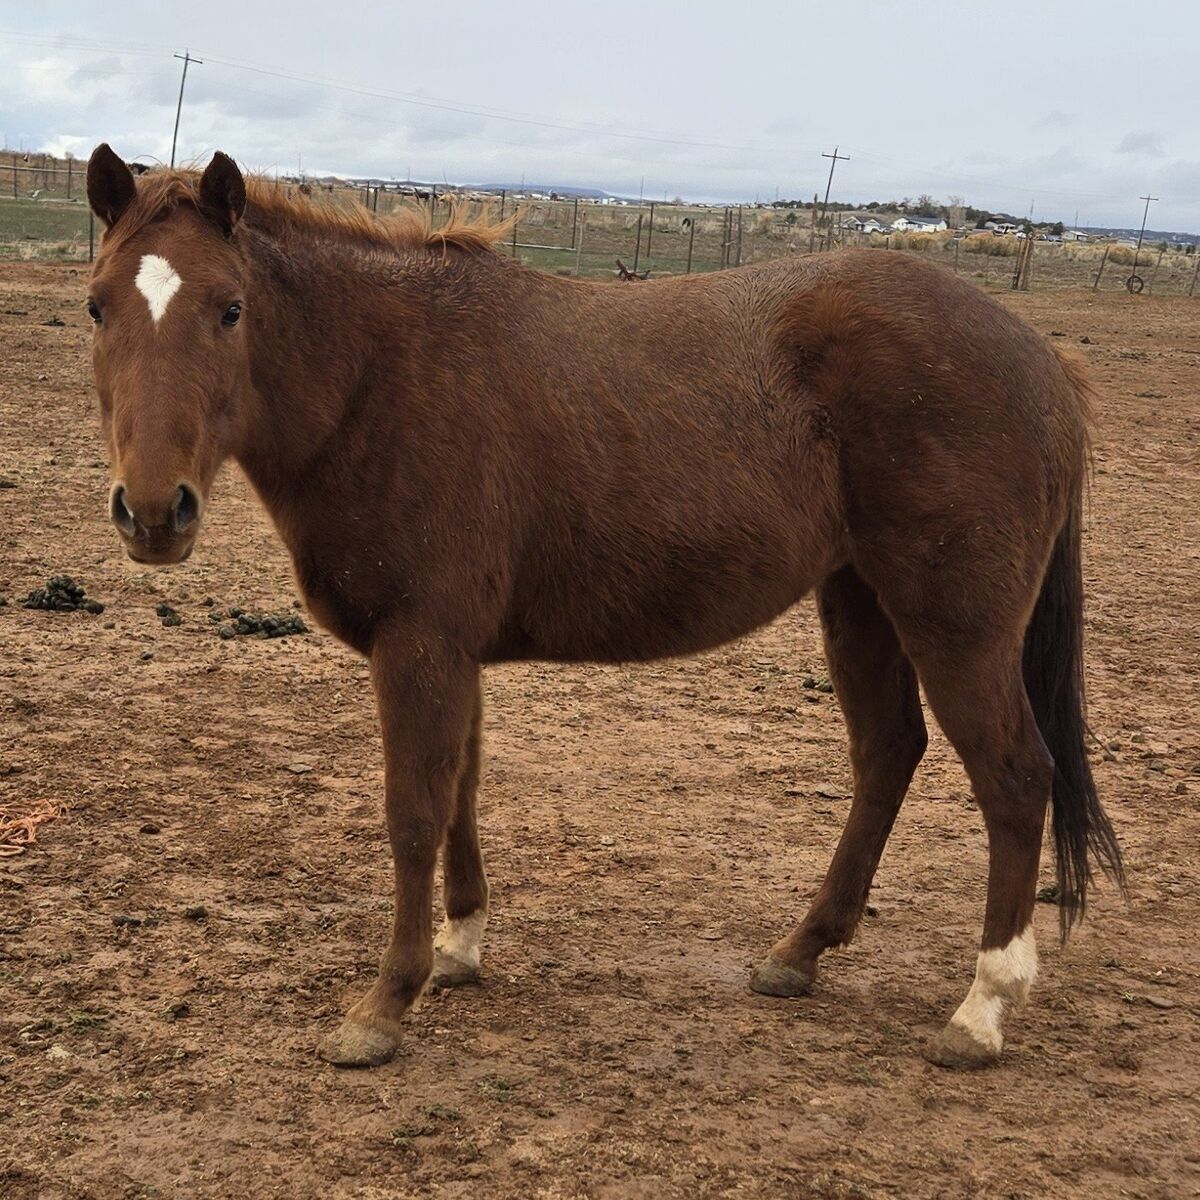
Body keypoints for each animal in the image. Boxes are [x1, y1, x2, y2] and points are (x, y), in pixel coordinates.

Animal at [83, 145, 1123, 1070]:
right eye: (97, 305)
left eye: (231, 309)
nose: (153, 512)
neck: (381, 378)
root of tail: (1043, 363)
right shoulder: (454, 652)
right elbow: (460, 793)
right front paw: (460, 949)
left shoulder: (419, 645)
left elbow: (413, 811)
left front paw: (384, 1006)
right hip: (860, 600)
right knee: (887, 754)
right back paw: (801, 952)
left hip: (956, 623)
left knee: (1013, 776)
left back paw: (981, 1010)